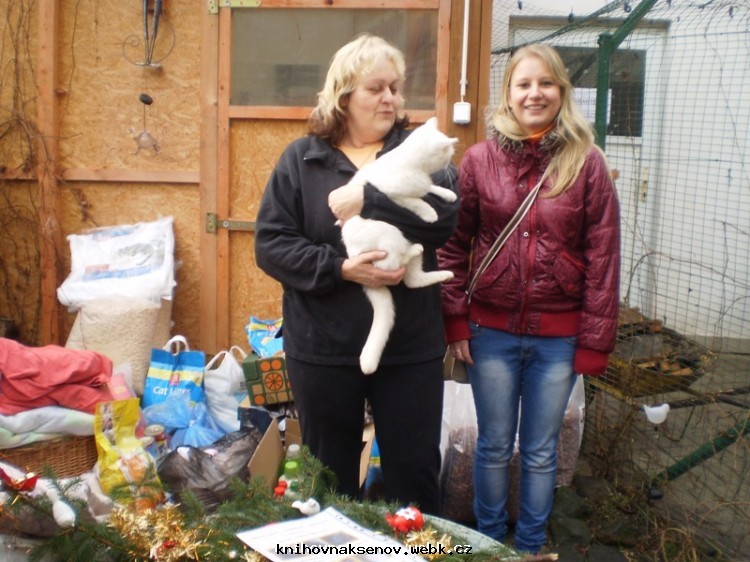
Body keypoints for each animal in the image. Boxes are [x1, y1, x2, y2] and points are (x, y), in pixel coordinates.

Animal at [338, 117, 458, 374]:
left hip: (412, 242)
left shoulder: (423, 184)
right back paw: (412, 250)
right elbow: (415, 201)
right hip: (390, 233)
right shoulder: (392, 193)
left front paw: (448, 194)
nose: (451, 159)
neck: (415, 168)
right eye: (448, 152)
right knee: (392, 264)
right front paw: (430, 213)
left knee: (412, 280)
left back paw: (443, 274)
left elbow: (430, 188)